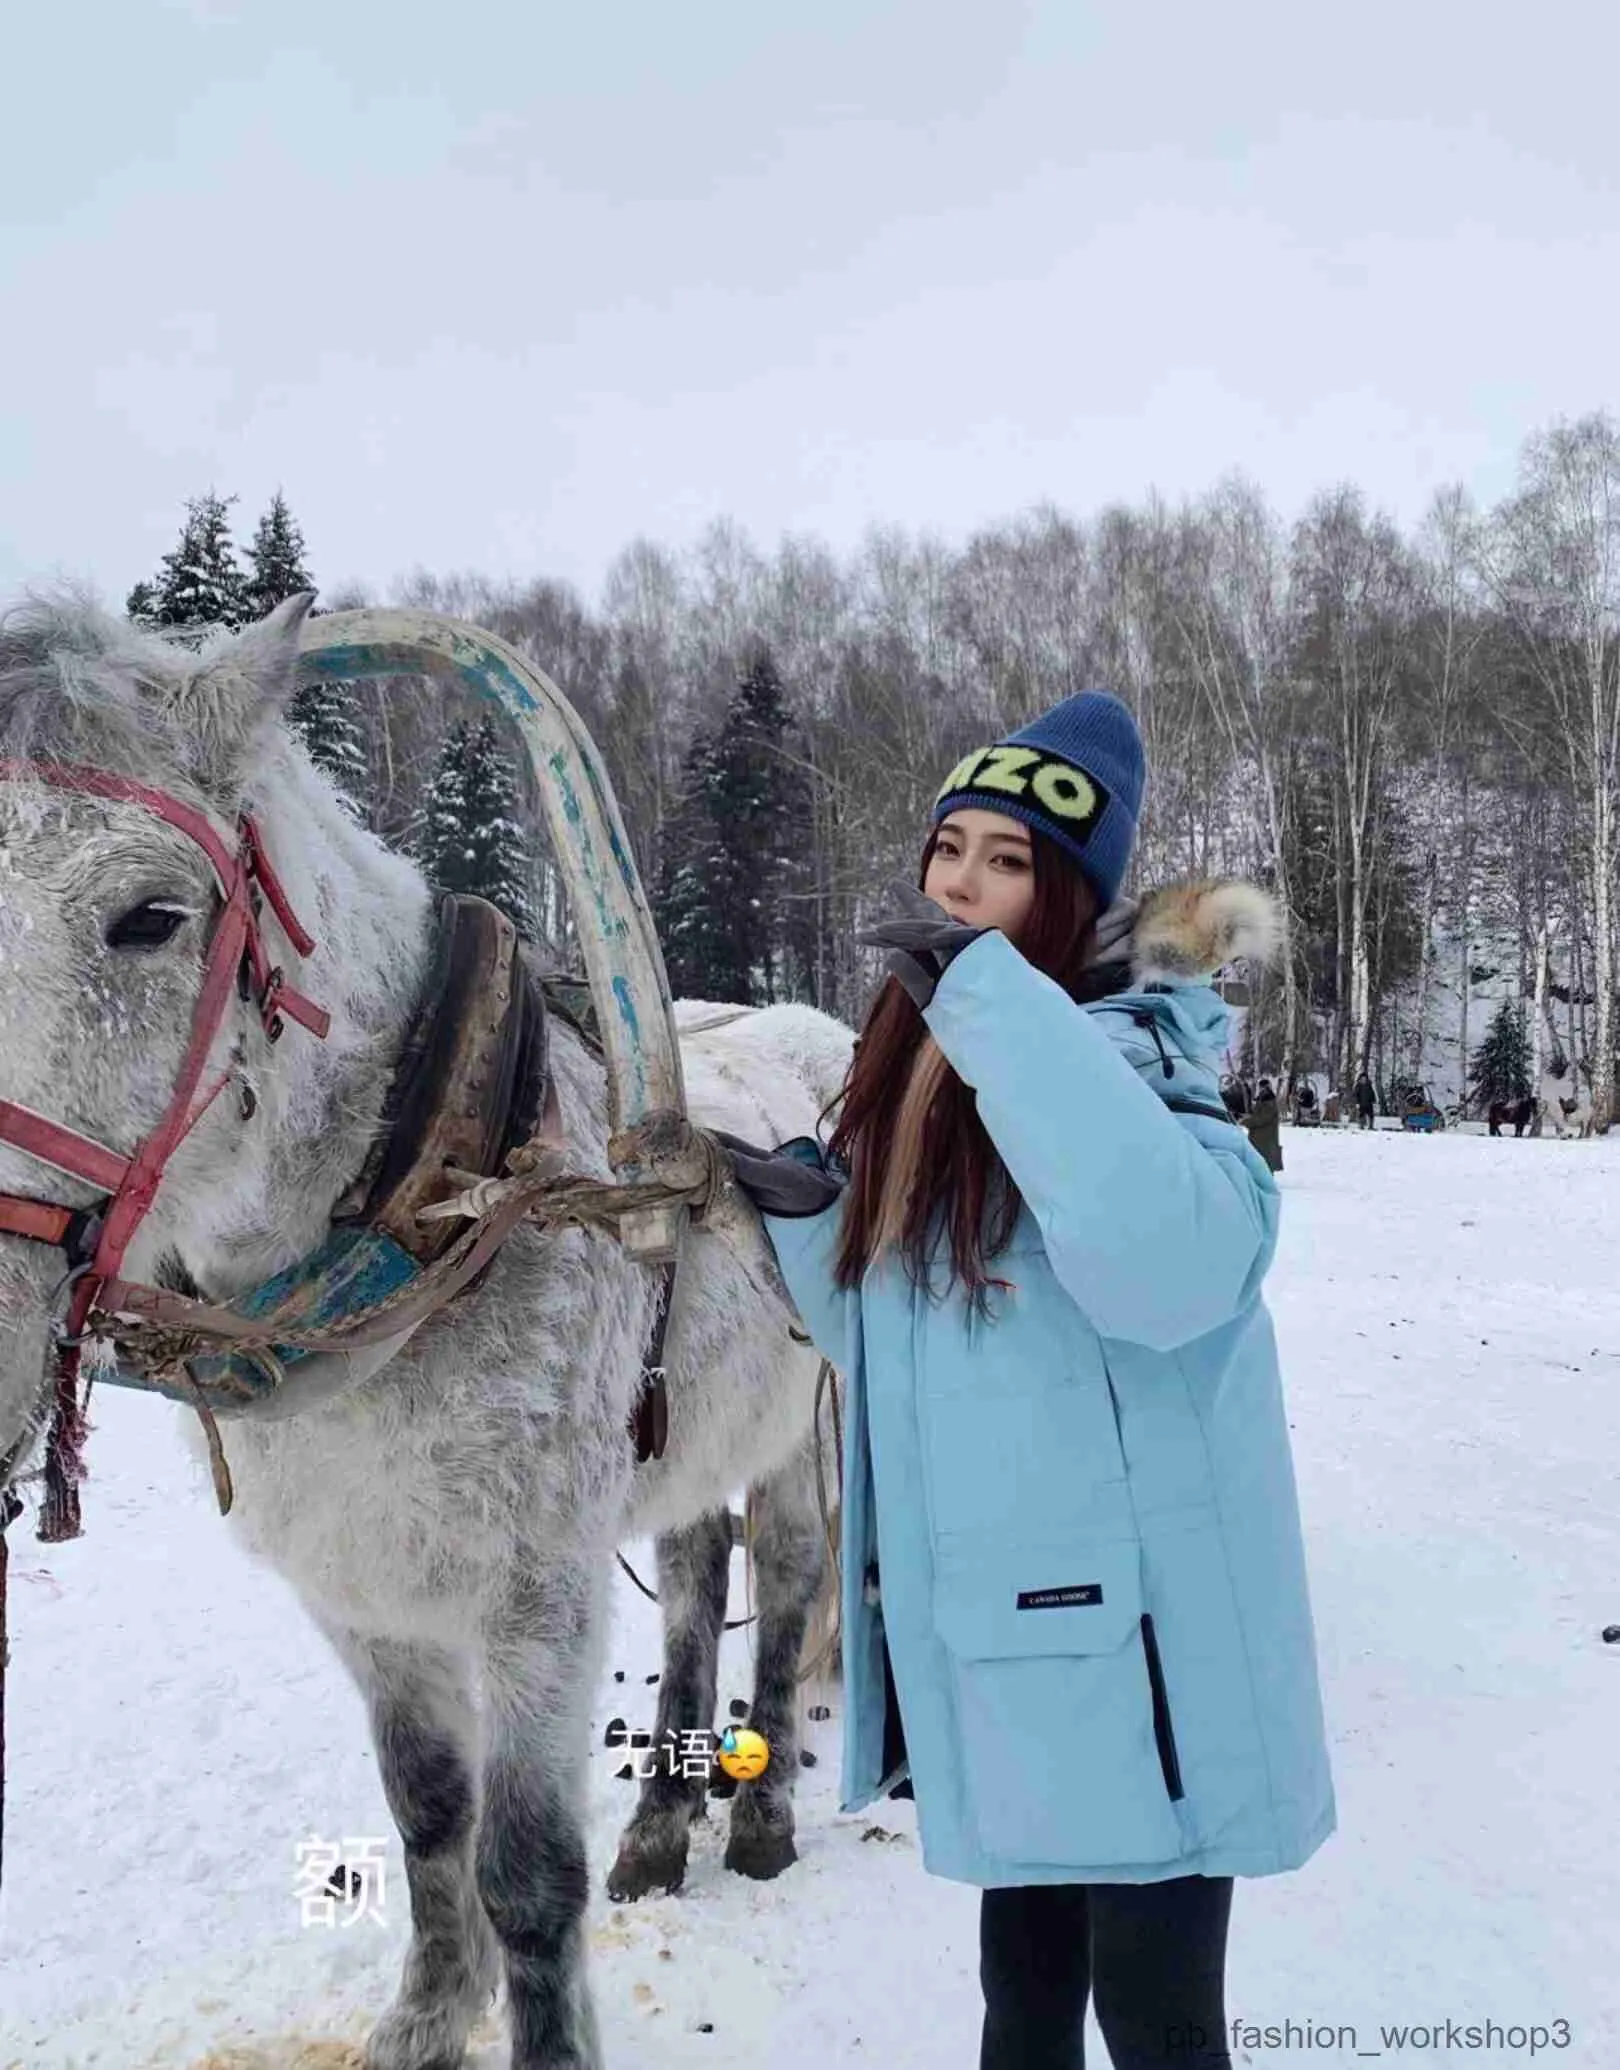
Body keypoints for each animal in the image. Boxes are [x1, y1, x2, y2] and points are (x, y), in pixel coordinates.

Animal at [0, 596, 856, 2070]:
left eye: (149, 917)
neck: (426, 1211)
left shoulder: (536, 1592)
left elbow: (525, 1868)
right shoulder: (361, 1596)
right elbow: (426, 1819)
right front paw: (426, 2021)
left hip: (798, 1427)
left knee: (791, 1582)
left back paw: (759, 1816)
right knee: (697, 1579)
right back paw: (662, 1823)